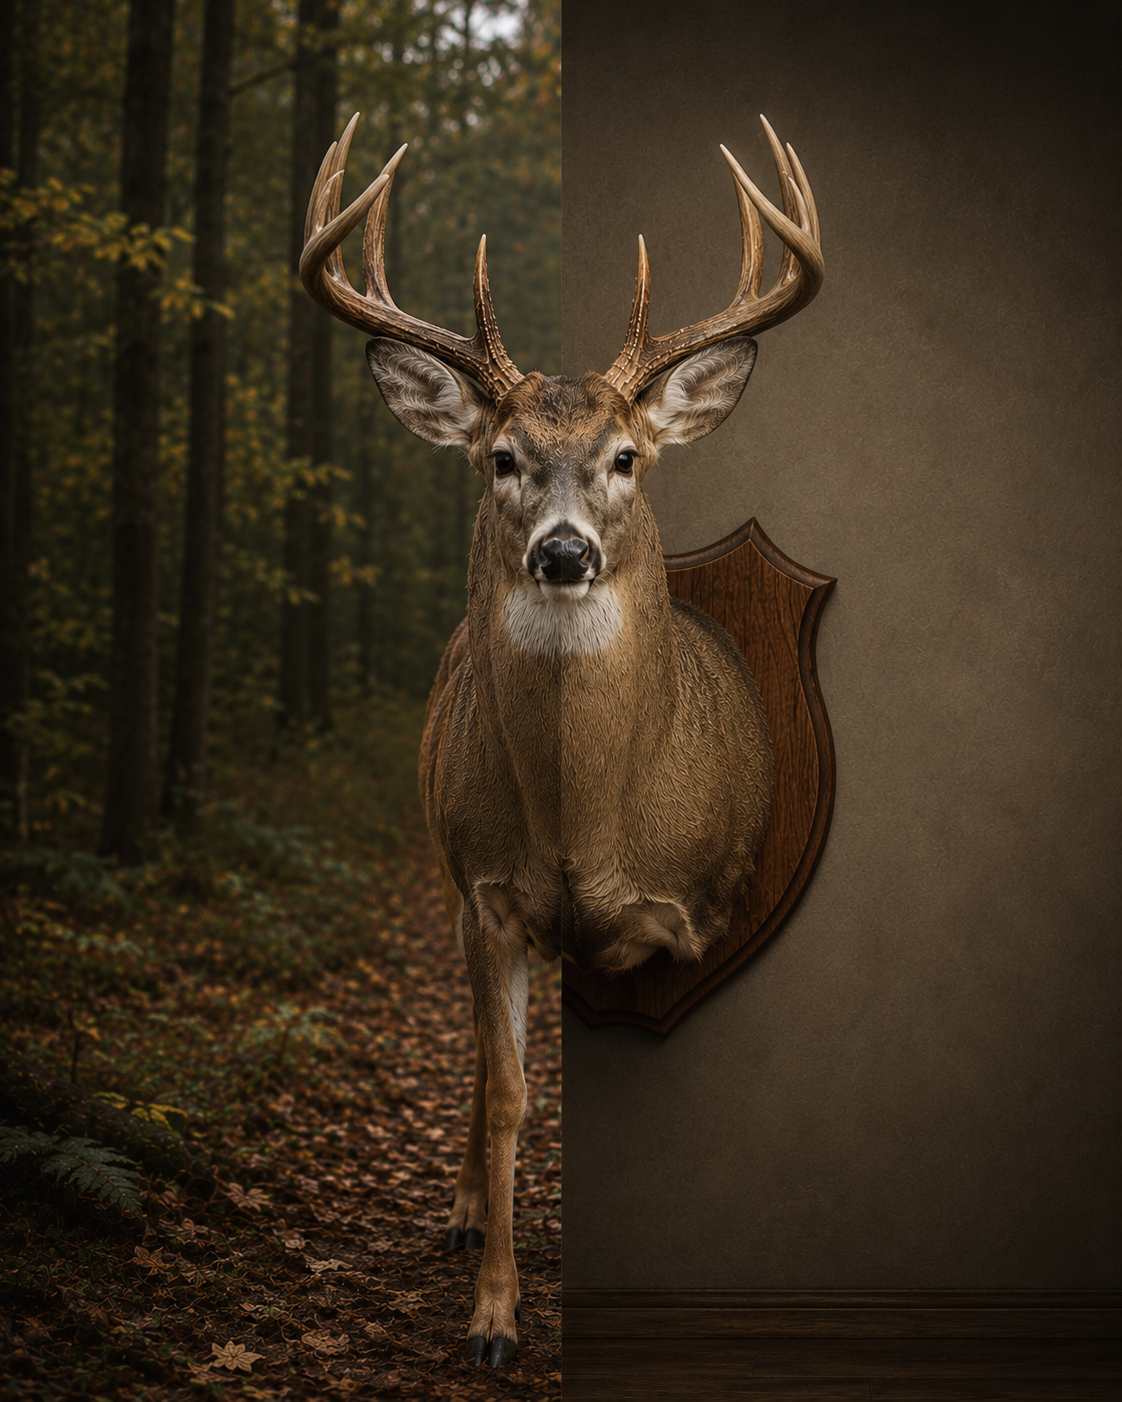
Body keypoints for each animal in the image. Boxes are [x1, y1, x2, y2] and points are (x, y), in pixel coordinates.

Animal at [300, 112, 823, 1367]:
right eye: (501, 458)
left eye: (628, 456)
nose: (565, 551)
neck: (590, 828)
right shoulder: (488, 890)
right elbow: (507, 1093)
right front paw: (493, 1316)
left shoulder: (695, 912)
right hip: (450, 881)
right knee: (483, 1054)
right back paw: (459, 1212)